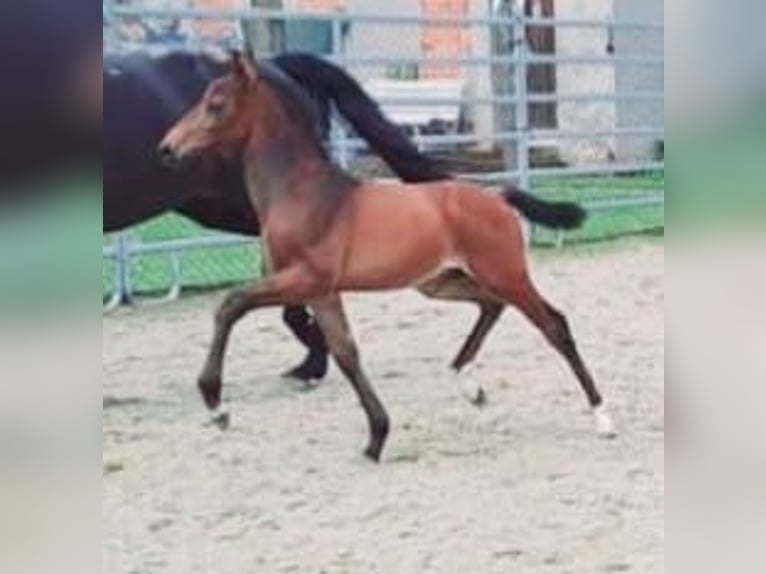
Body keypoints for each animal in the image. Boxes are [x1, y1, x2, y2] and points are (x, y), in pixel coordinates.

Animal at [160, 50, 616, 464]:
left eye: (216, 104)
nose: (167, 148)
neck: (301, 193)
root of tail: (496, 195)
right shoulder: (323, 291)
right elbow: (345, 353)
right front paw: (376, 437)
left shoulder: (307, 278)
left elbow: (231, 305)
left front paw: (217, 405)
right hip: (439, 282)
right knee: (491, 305)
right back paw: (469, 384)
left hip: (505, 273)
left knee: (554, 324)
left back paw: (602, 417)